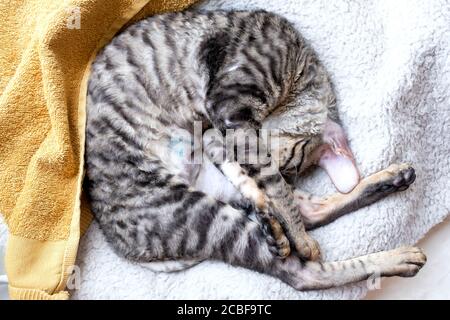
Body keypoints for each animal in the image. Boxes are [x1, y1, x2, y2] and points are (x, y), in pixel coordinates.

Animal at [84, 9, 426, 290]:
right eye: (284, 167)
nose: (279, 174)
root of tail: (122, 247)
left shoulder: (221, 130)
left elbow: (269, 187)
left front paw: (265, 201)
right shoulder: (227, 115)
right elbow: (275, 190)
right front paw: (288, 225)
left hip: (207, 202)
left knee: (310, 216)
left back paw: (394, 181)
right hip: (199, 212)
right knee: (303, 271)